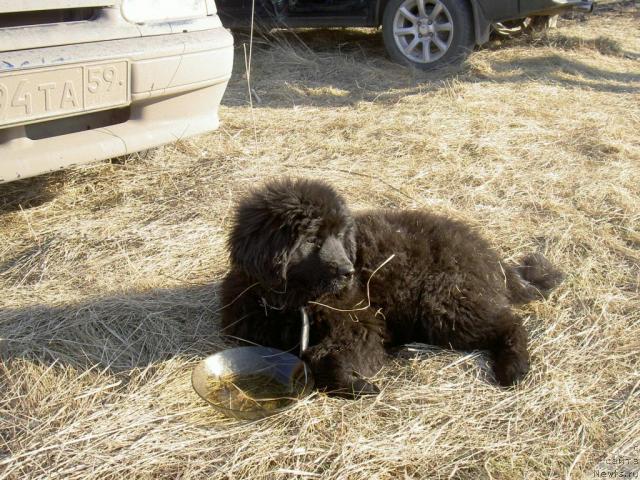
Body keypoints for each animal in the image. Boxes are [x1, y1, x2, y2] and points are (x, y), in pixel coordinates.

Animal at [221, 178, 564, 396]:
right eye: (312, 240)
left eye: (341, 236)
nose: (348, 271)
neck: (297, 303)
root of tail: (492, 256)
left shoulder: (359, 323)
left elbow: (325, 357)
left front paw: (357, 386)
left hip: (446, 303)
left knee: (510, 322)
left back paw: (513, 367)